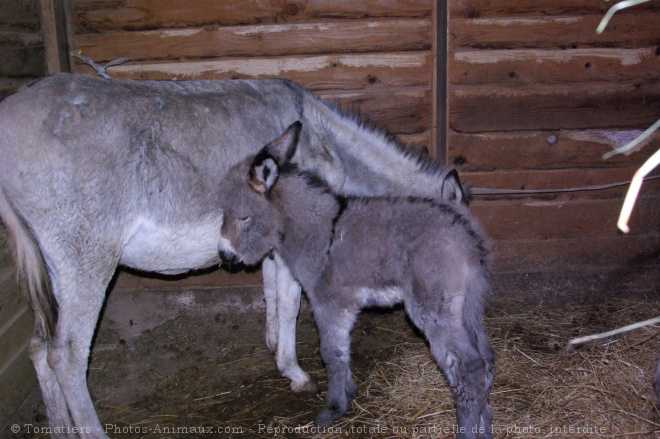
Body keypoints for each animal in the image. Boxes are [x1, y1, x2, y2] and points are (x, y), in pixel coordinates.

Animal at [219, 122, 492, 438]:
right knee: (487, 359)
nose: (223, 255)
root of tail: (469, 237)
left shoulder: (329, 302)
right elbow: (342, 351)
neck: (321, 228)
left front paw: (333, 408)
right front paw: (348, 392)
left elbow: (331, 353)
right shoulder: (344, 306)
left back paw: (467, 430)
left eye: (243, 217)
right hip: (468, 307)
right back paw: (486, 425)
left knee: (469, 369)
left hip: (434, 308)